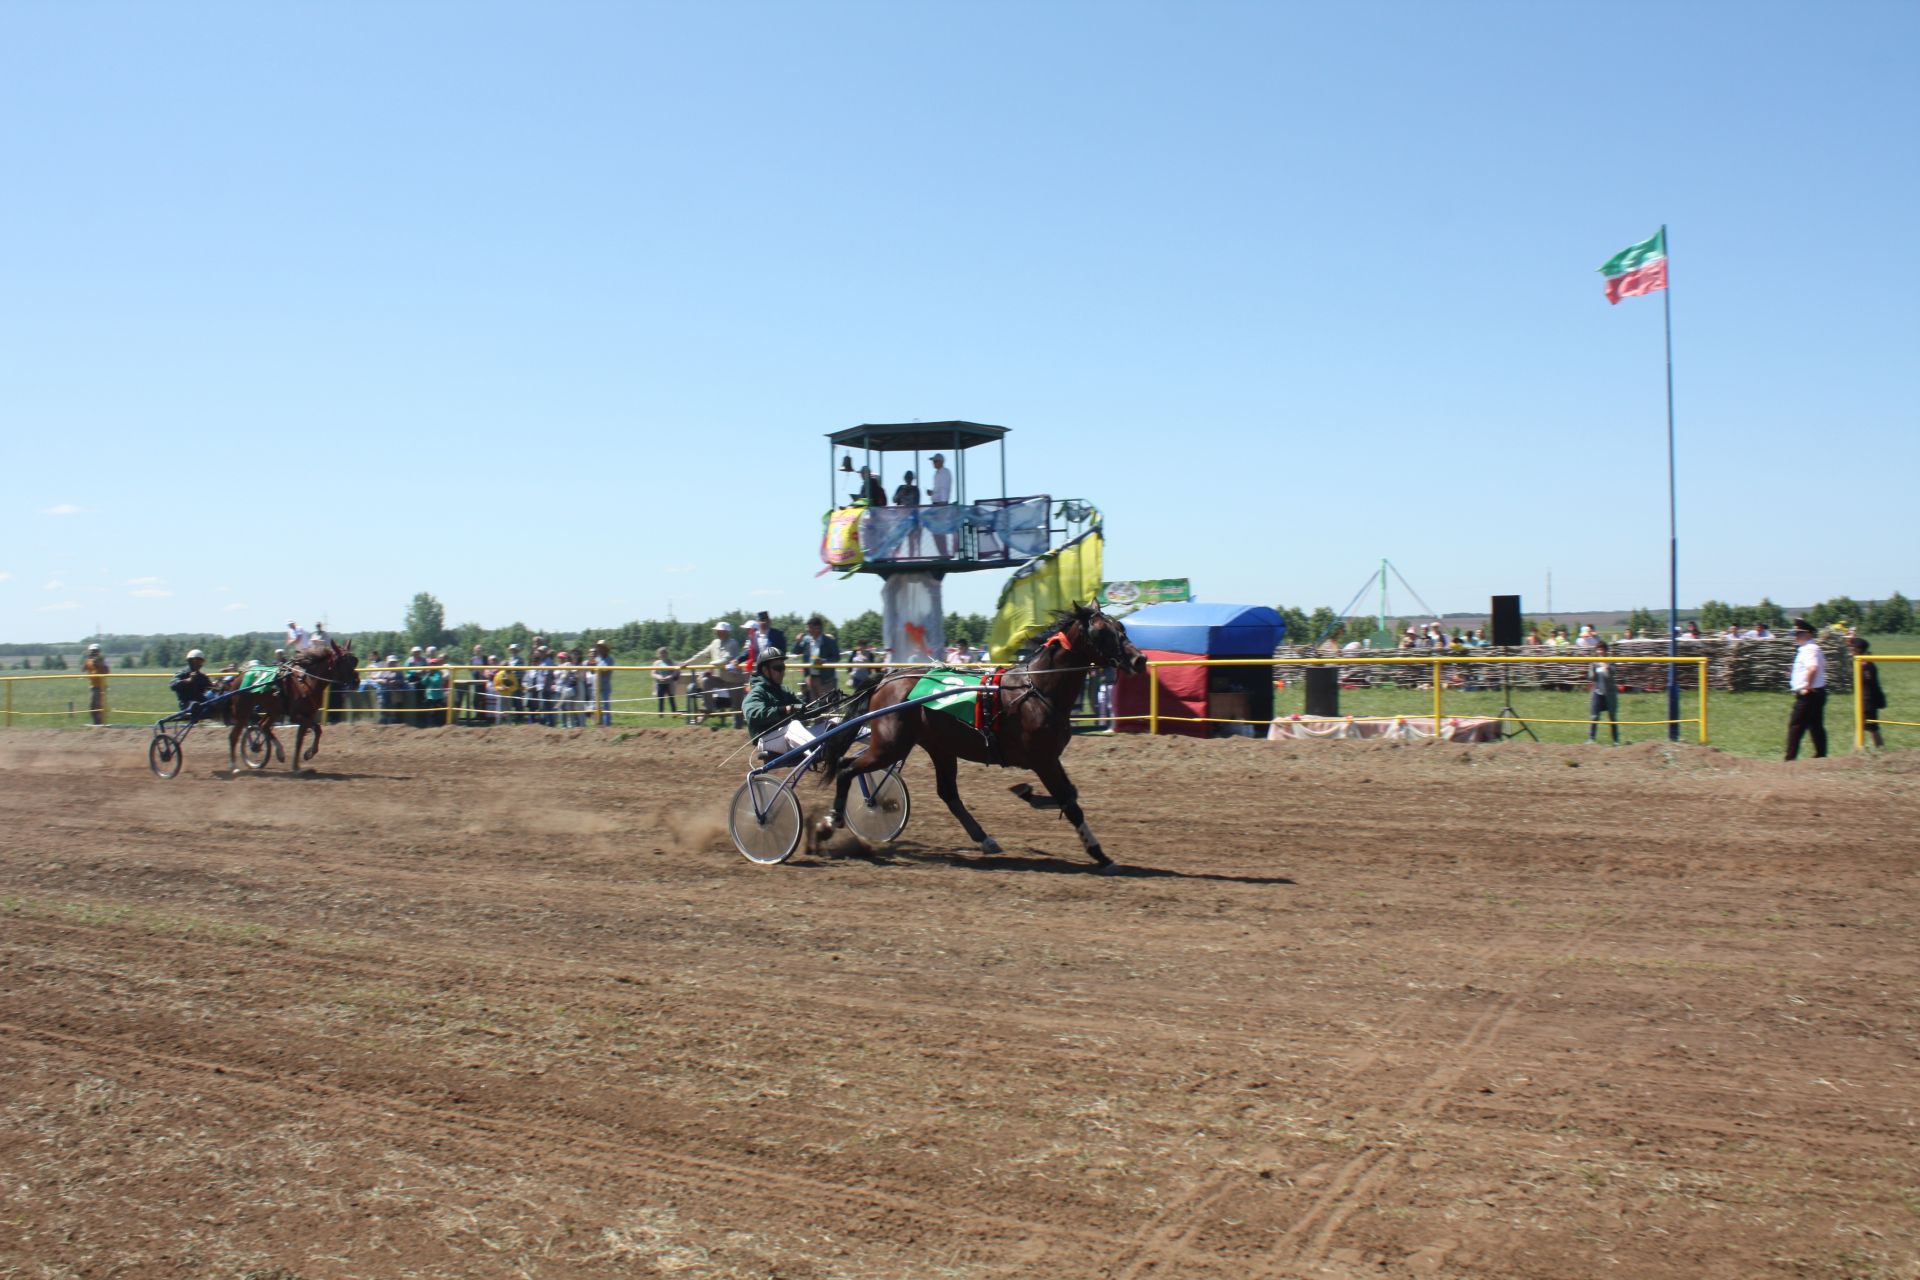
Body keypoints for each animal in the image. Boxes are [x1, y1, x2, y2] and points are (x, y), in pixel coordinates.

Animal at [226, 644, 359, 775]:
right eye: (343, 661)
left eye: (354, 661)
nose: (356, 682)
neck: (306, 681)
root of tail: (239, 676)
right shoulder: (296, 716)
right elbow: (314, 729)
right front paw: (306, 756)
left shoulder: (308, 714)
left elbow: (304, 737)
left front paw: (300, 762)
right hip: (243, 711)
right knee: (234, 736)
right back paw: (234, 766)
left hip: (274, 710)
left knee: (263, 725)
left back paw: (278, 752)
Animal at [821, 606, 1136, 875]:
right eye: (1102, 632)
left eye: (1121, 627)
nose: (1137, 659)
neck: (1037, 689)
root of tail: (887, 680)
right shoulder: (1043, 759)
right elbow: (1070, 803)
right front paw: (1100, 854)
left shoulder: (1049, 759)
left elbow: (1069, 795)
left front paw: (1028, 793)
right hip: (890, 746)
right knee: (846, 767)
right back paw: (832, 819)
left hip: (939, 747)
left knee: (948, 793)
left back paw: (985, 839)